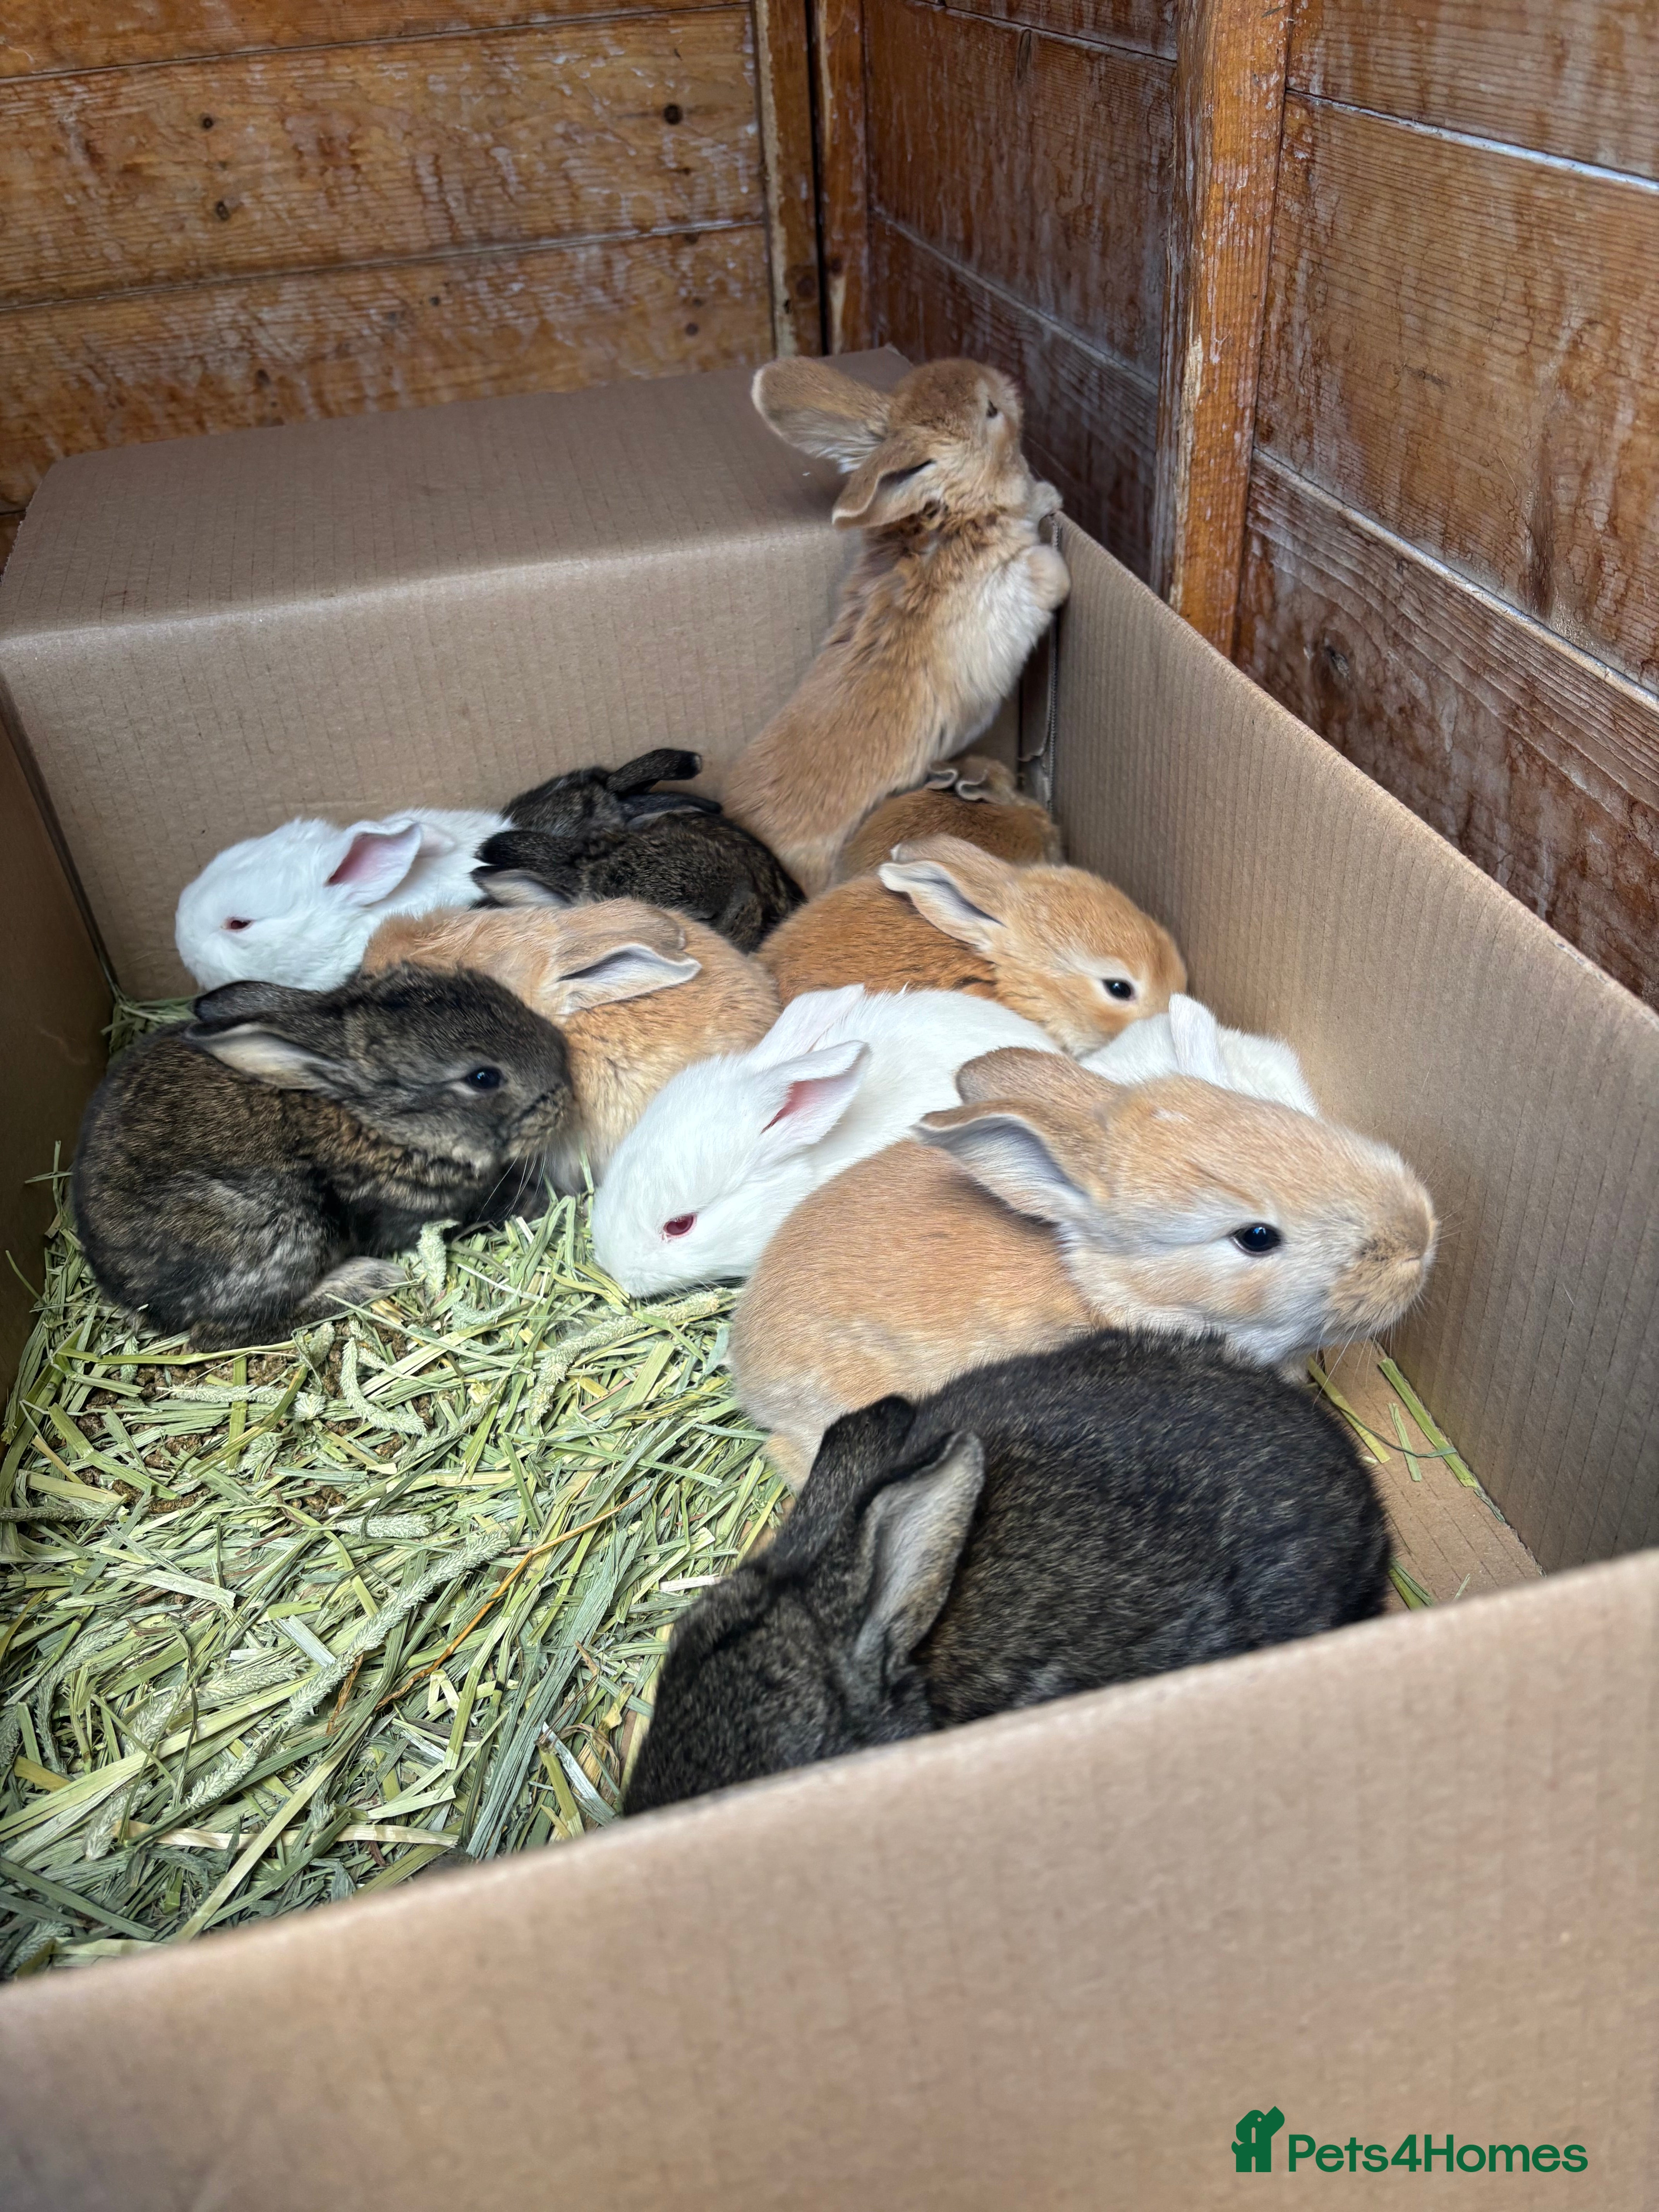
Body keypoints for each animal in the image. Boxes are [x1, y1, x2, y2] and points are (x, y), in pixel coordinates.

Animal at [71, 966, 573, 1353]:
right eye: (483, 1078)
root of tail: (124, 1290)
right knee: (216, 1334)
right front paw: (536, 1201)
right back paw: (368, 1280)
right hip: (285, 1228)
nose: (567, 1080)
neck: (374, 1121)